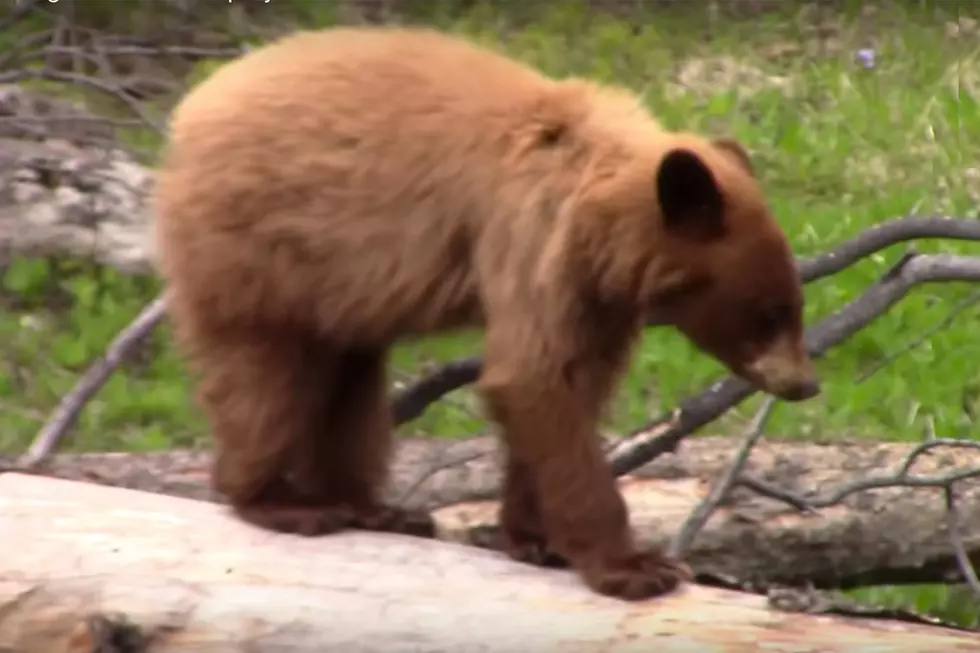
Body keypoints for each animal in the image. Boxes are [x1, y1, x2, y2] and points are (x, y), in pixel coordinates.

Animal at [153, 26, 820, 600]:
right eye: (769, 312)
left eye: (795, 303)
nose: (805, 385)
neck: (595, 196)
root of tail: (188, 114)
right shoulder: (532, 236)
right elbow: (532, 375)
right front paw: (635, 567)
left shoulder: (593, 291)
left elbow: (564, 389)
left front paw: (535, 539)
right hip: (258, 250)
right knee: (264, 377)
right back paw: (282, 502)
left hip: (334, 283)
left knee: (350, 377)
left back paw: (377, 507)